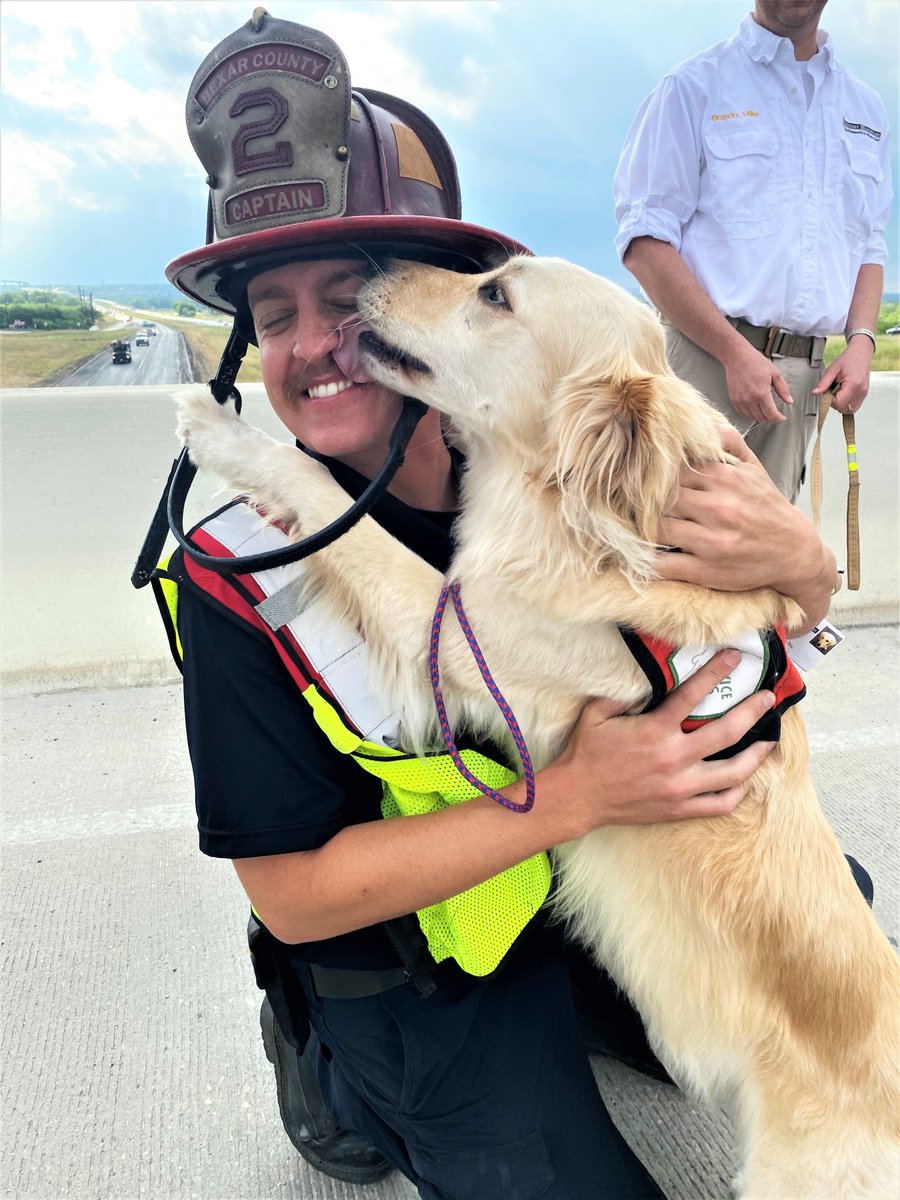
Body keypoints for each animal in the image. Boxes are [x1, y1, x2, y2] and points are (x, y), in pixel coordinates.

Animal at [177, 258, 900, 1195]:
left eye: (494, 295)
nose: (367, 268)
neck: (569, 514)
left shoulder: (457, 637)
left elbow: (338, 504)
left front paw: (224, 434)